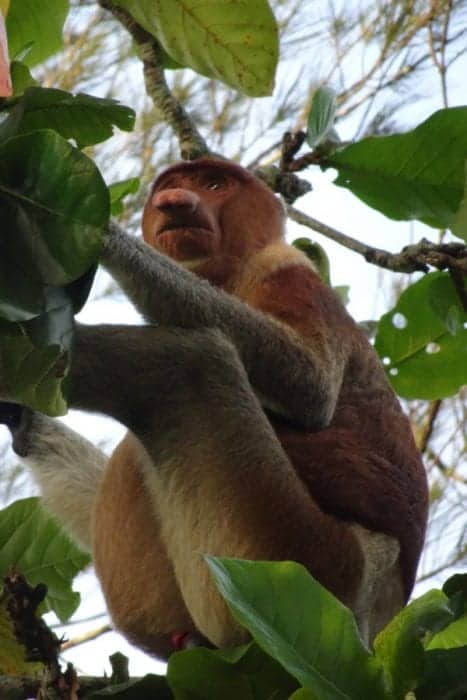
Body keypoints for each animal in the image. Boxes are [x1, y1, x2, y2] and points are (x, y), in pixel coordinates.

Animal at [0, 158, 428, 658]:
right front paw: (25, 419)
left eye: (214, 185)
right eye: (172, 187)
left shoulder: (287, 268)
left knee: (190, 364)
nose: (175, 203)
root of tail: (379, 616)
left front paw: (101, 231)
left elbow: (310, 385)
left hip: (296, 556)